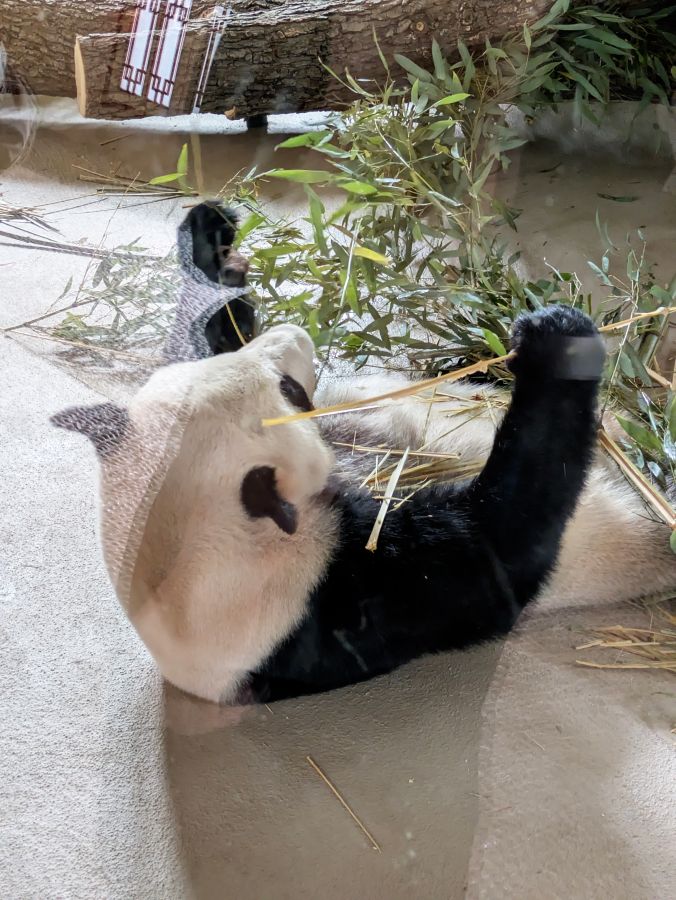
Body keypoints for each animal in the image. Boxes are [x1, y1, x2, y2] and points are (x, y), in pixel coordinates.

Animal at [52, 204, 676, 704]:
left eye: (278, 375)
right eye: (289, 390)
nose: (296, 334)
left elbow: (200, 331)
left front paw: (217, 250)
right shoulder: (337, 600)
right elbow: (508, 541)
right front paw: (556, 337)